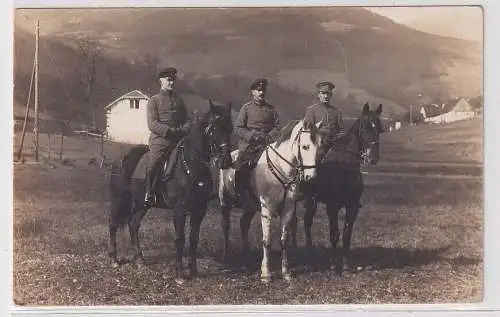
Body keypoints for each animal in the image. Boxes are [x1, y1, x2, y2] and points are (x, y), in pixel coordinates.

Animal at [218, 118, 320, 282]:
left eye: (319, 146)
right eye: (305, 146)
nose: (311, 177)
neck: (281, 167)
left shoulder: (288, 209)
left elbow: (283, 240)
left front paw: (286, 272)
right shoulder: (267, 210)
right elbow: (267, 240)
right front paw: (266, 273)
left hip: (250, 206)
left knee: (243, 223)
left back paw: (246, 252)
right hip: (225, 202)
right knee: (225, 225)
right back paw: (226, 254)